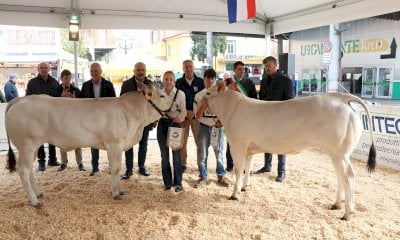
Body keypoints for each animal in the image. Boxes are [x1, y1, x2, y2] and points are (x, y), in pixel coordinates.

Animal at [5, 83, 173, 207]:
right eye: (162, 95)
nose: (176, 106)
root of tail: (21, 99)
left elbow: (118, 169)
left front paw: (120, 191)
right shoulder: (114, 144)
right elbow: (115, 169)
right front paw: (116, 193)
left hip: (32, 147)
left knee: (29, 169)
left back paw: (38, 193)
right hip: (27, 145)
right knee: (23, 169)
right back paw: (35, 201)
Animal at [205, 83, 376, 220]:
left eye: (208, 93)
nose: (199, 99)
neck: (232, 107)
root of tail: (339, 98)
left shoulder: (238, 143)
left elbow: (239, 169)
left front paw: (234, 194)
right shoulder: (250, 148)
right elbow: (248, 166)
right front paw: (244, 187)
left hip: (339, 153)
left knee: (348, 177)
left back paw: (347, 213)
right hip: (338, 154)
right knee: (342, 176)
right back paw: (338, 205)